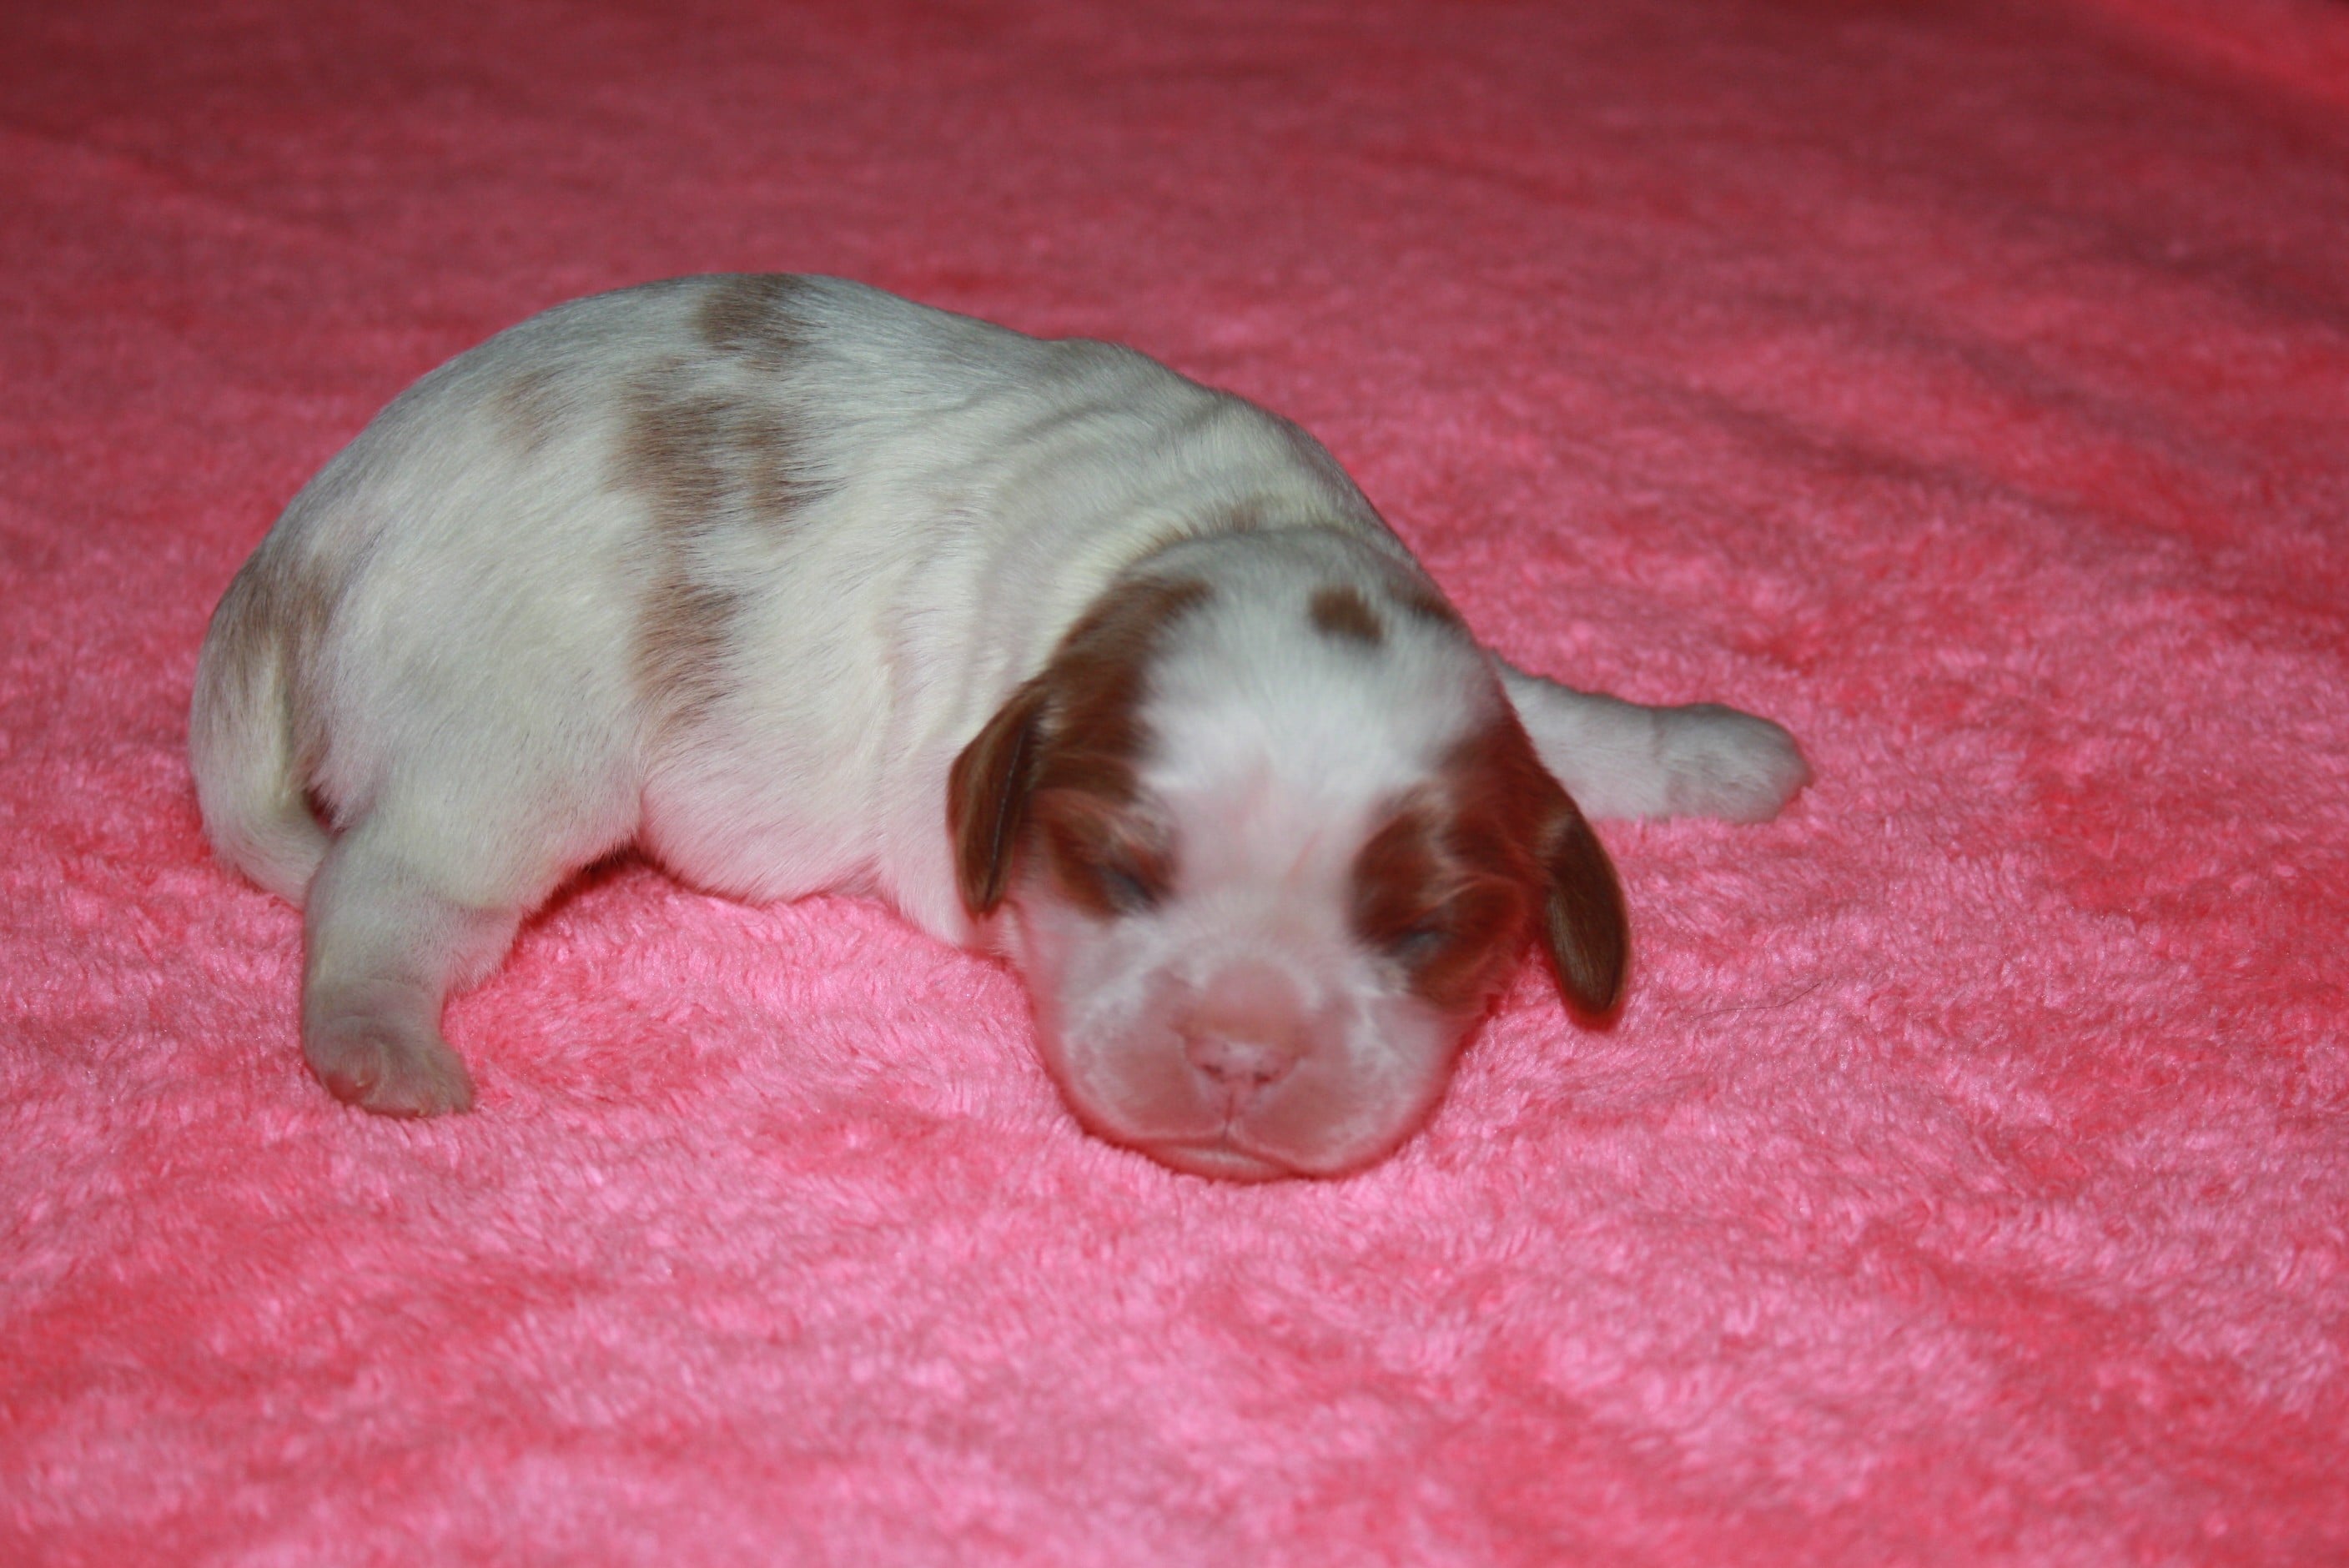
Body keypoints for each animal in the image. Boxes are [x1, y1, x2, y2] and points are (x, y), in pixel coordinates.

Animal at [190, 275, 1808, 1179]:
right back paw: (376, 1035)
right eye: (1122, 874)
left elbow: (1564, 721)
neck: (1196, 535)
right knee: (387, 885)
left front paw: (1720, 750)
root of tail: (314, 530)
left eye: (1423, 931)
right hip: (514, 741)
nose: (1241, 1056)